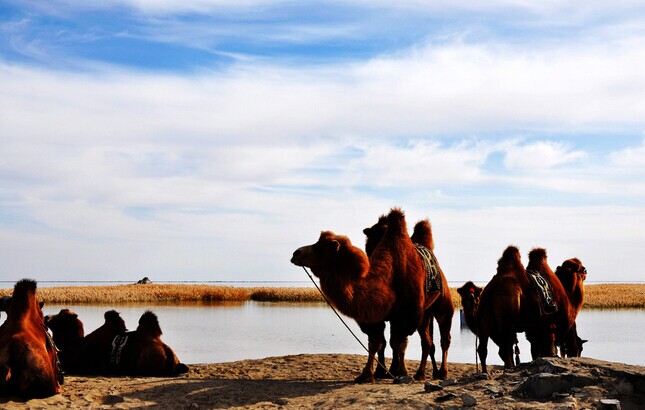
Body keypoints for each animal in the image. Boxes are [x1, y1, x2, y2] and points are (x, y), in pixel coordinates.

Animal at [362, 216, 452, 380]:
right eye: (373, 237)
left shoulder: (401, 314)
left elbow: (394, 341)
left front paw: (395, 370)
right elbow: (382, 342)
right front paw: (380, 372)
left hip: (442, 307)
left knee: (444, 339)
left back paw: (441, 372)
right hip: (425, 313)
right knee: (428, 342)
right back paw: (425, 373)